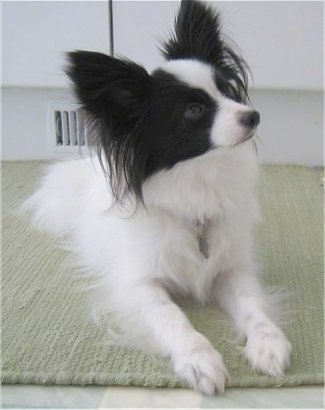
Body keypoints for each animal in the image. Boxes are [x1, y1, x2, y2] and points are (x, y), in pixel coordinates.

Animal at [24, 0, 290, 398]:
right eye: (195, 111)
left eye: (228, 90)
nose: (254, 116)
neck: (198, 180)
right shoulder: (139, 286)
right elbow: (172, 317)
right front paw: (200, 361)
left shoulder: (231, 269)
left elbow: (252, 305)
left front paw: (269, 343)